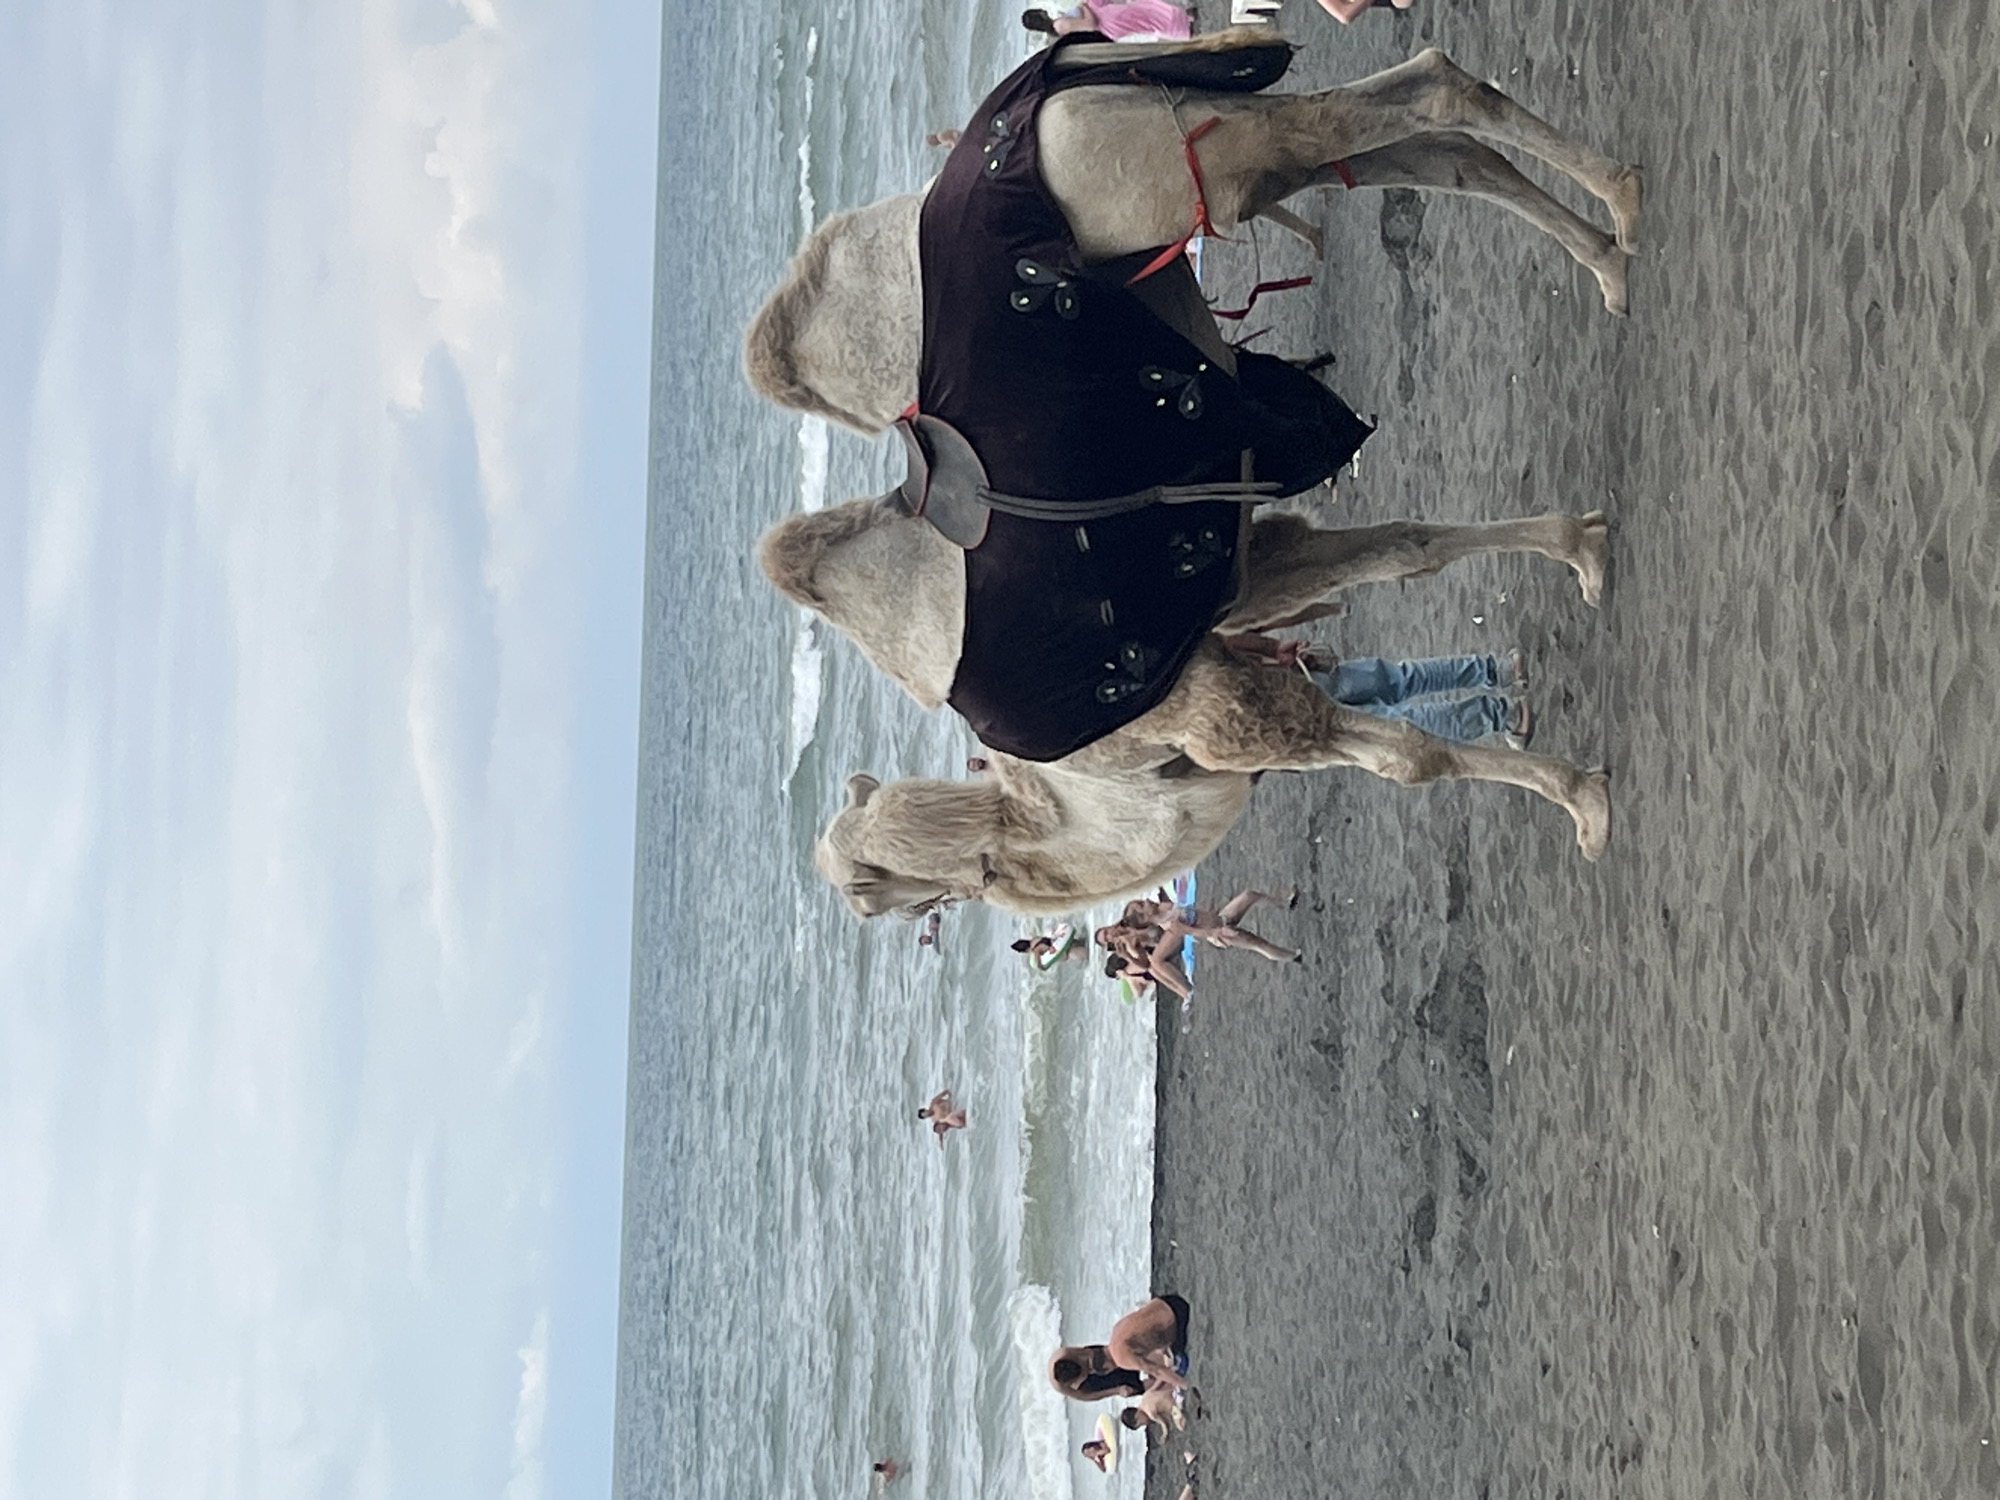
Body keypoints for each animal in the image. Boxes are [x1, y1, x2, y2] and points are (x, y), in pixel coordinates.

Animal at [745, 36, 1642, 436]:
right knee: (1447, 148)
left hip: (1233, 156)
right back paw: (1609, 260)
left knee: (1438, 96)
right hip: (1255, 158)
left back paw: (1625, 204)